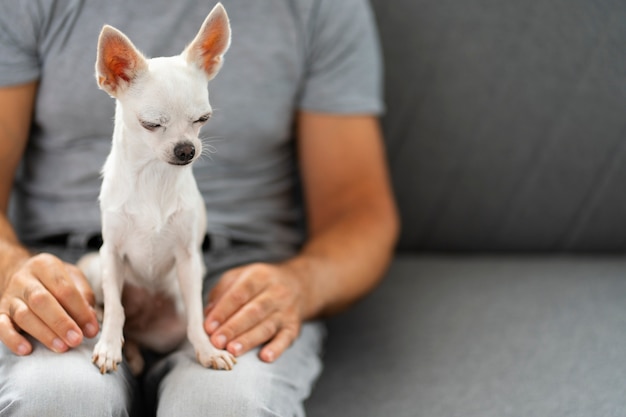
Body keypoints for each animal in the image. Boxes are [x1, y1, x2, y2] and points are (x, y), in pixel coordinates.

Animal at [77, 3, 234, 374]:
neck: (153, 177)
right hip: (95, 265)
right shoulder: (111, 254)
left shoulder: (190, 260)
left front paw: (206, 350)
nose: (186, 149)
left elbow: (196, 316)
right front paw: (108, 346)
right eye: (150, 124)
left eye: (202, 119)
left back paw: (136, 353)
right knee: (115, 312)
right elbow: (115, 309)